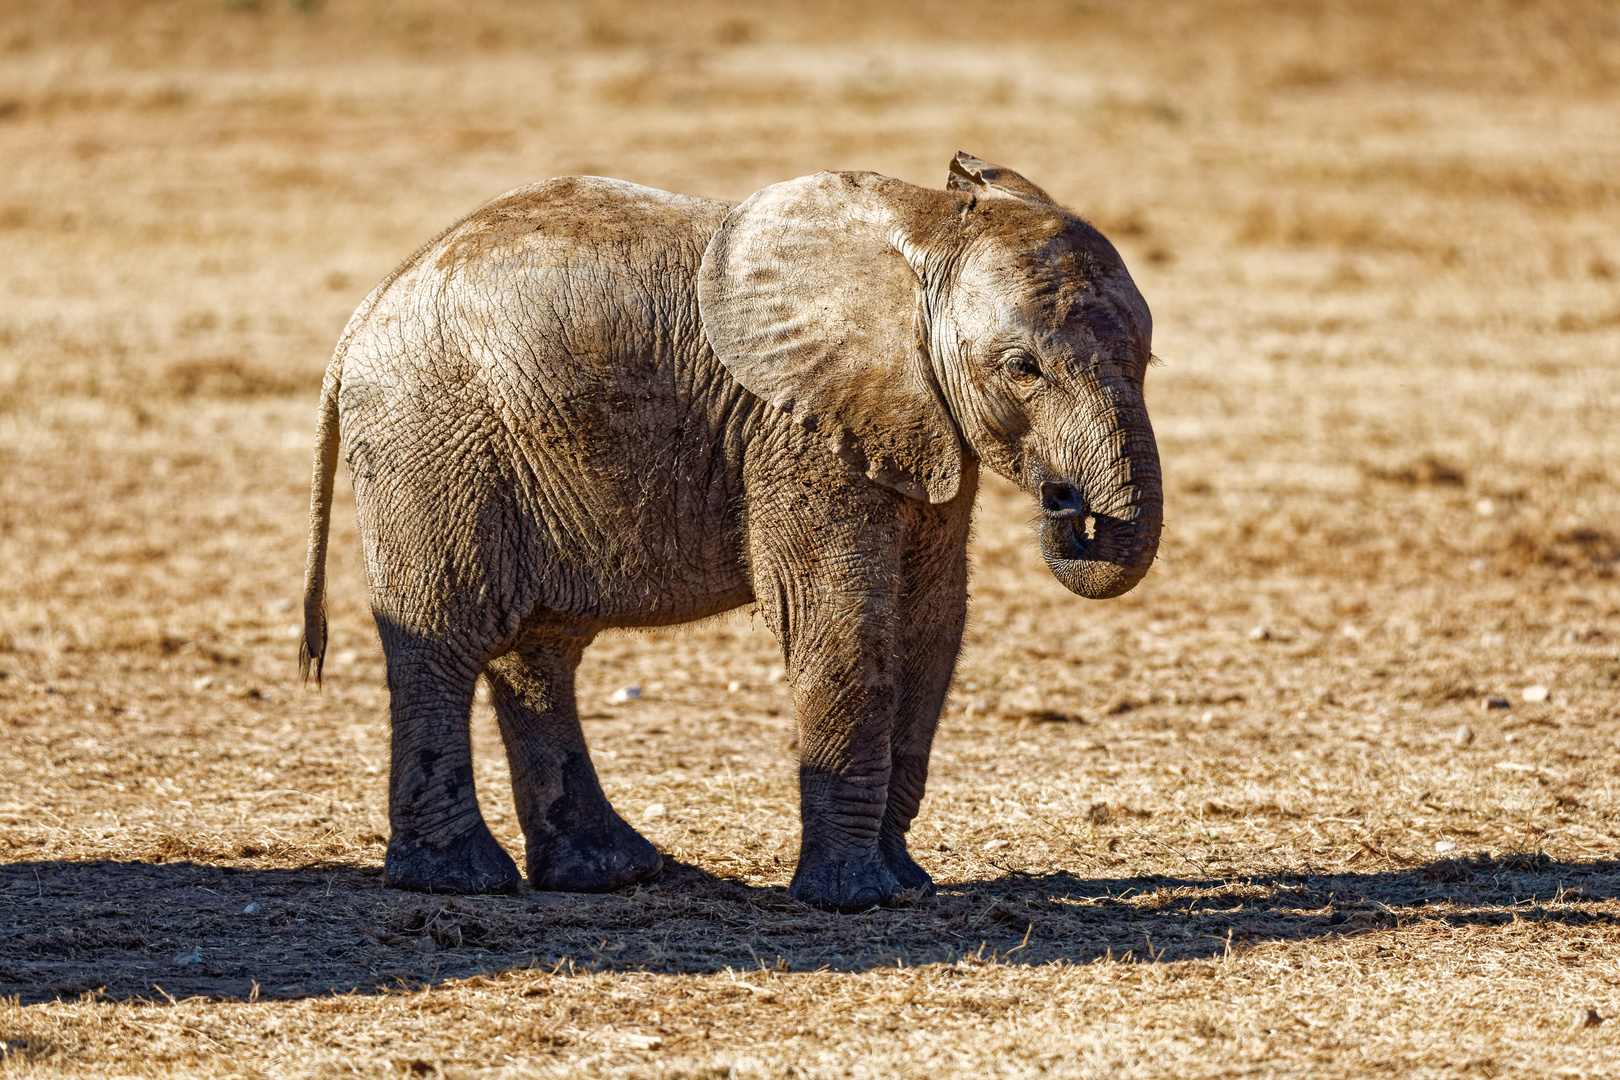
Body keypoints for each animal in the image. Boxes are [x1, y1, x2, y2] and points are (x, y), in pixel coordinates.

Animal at [301, 152, 1166, 913]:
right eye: (1023, 368)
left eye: (1148, 359)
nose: (1066, 501)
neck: (923, 229)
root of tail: (360, 318)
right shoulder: (800, 427)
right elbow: (840, 621)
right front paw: (854, 900)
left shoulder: (918, 422)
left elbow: (931, 627)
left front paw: (907, 885)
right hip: (431, 440)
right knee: (442, 639)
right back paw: (459, 880)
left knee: (538, 651)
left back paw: (612, 873)